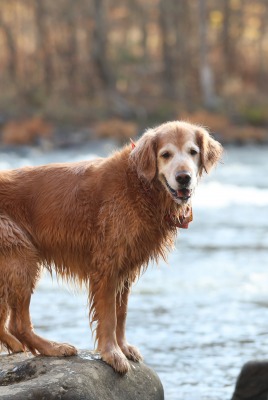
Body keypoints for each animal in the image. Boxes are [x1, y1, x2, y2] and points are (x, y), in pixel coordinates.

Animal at [0, 120, 222, 374]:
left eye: (193, 152)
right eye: (166, 154)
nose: (183, 177)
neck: (139, 184)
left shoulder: (126, 269)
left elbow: (122, 313)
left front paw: (123, 347)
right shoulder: (107, 265)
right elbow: (109, 317)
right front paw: (113, 354)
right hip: (22, 257)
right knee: (18, 324)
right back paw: (52, 347)